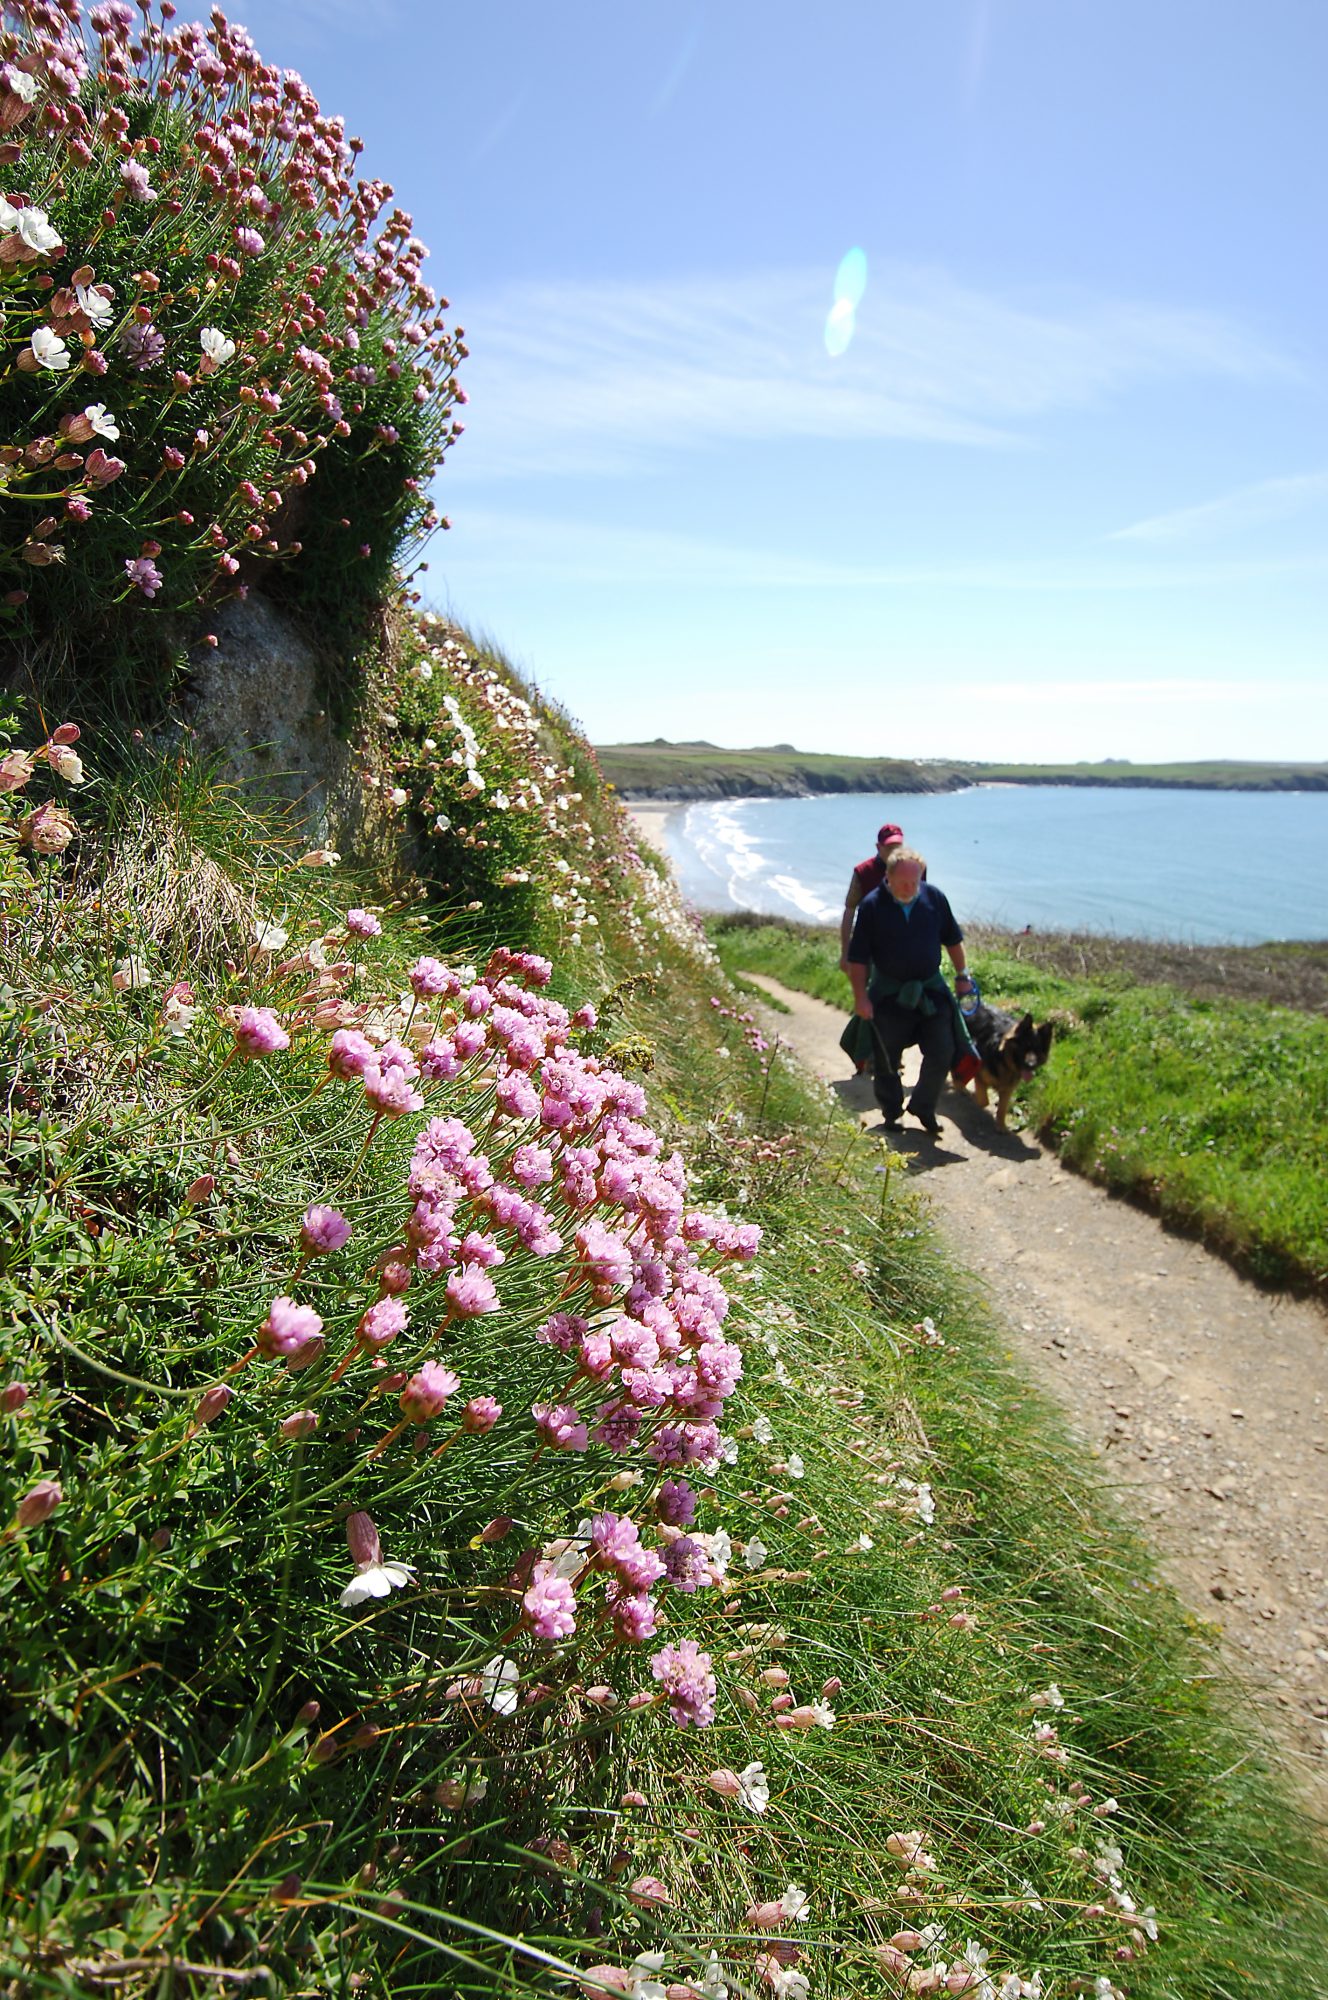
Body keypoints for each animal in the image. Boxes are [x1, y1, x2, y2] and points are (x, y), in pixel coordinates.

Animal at [972, 1000, 1056, 1128]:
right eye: (1025, 1045)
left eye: (1037, 1050)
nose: (1031, 1065)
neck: (1004, 1060)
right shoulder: (980, 1076)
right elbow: (984, 1101)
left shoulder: (1008, 1088)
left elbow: (1002, 1110)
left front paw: (1001, 1127)